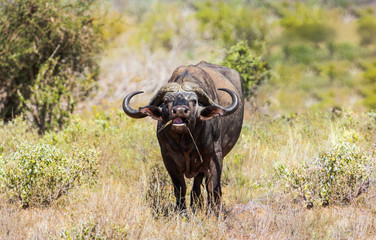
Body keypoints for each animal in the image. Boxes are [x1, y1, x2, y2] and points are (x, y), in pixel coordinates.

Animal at [122, 61, 242, 212]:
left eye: (194, 101)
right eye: (167, 101)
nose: (180, 111)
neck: (186, 143)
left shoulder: (215, 157)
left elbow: (213, 187)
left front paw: (214, 211)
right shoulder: (169, 159)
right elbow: (180, 188)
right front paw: (181, 210)